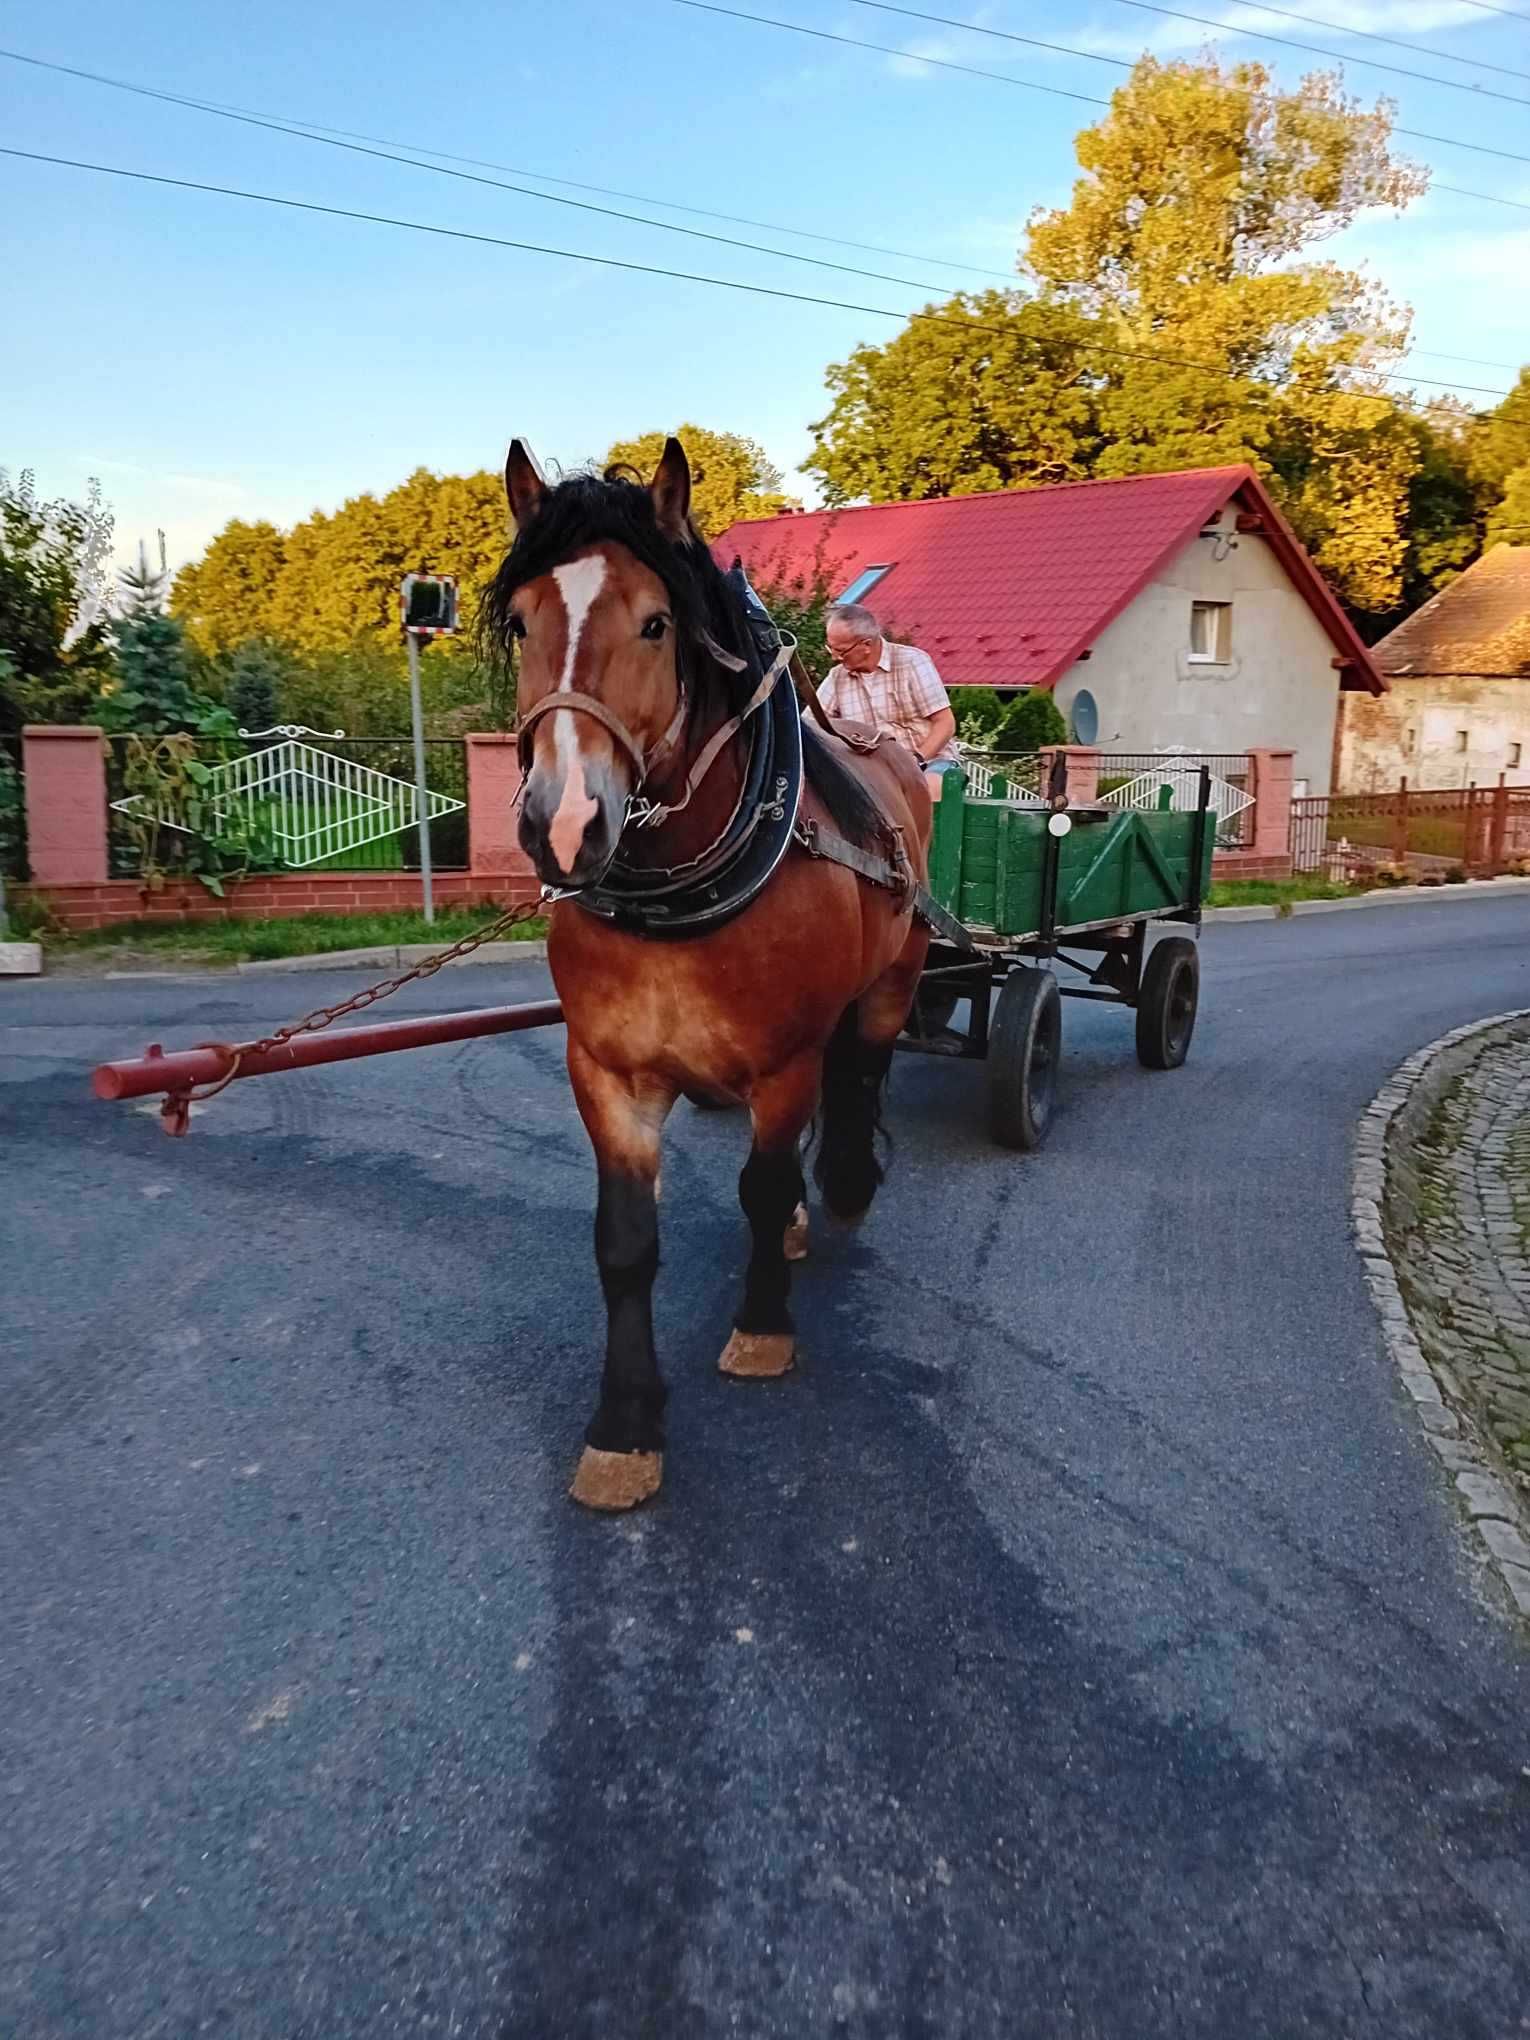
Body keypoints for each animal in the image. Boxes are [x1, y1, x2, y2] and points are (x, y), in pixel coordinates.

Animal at [481, 434, 934, 1517]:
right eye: (521, 622)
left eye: (655, 622)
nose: (564, 824)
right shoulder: (608, 1075)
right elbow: (623, 1243)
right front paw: (624, 1427)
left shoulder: (784, 1061)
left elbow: (761, 1188)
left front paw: (763, 1325)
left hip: (893, 979)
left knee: (863, 1069)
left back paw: (842, 1184)